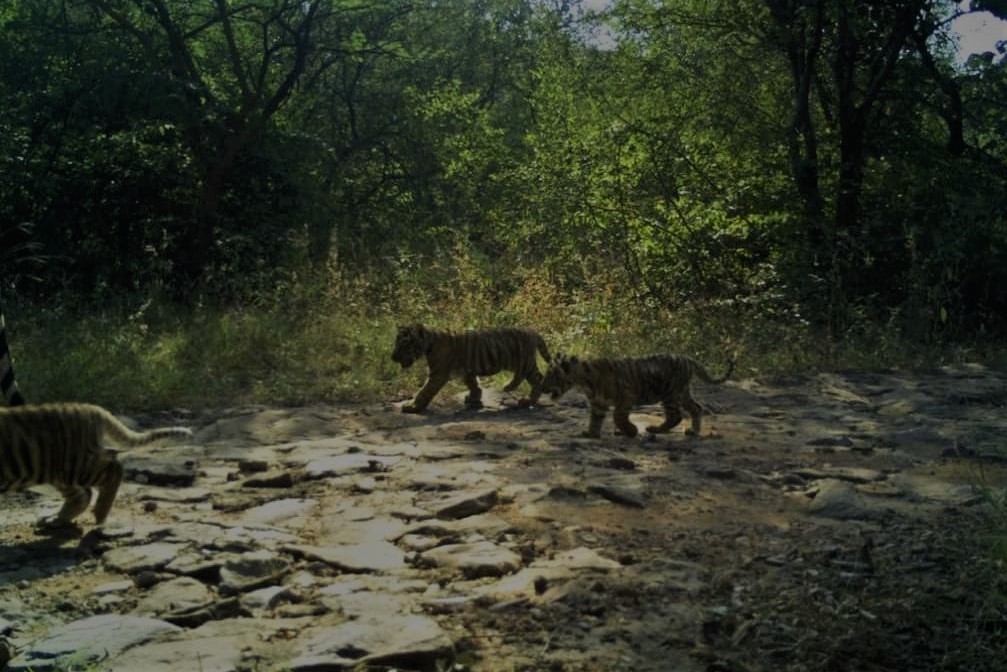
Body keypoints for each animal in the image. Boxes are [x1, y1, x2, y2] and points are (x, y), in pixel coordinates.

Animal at [0, 403, 193, 529]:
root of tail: (89, 408)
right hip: (57, 471)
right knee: (83, 495)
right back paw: (56, 520)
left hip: (75, 465)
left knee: (113, 470)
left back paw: (99, 514)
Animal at [391, 323, 552, 413]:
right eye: (396, 342)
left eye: (404, 343)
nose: (393, 357)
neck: (429, 343)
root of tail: (532, 331)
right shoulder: (467, 369)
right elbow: (473, 383)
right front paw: (474, 398)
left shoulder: (438, 374)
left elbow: (424, 391)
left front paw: (412, 407)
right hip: (518, 363)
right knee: (522, 376)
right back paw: (509, 386)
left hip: (525, 362)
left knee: (538, 379)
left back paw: (528, 400)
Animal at [542, 353, 734, 438]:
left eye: (552, 376)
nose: (542, 387)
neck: (583, 381)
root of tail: (688, 358)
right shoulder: (598, 404)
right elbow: (595, 420)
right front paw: (591, 433)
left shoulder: (626, 397)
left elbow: (618, 417)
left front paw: (631, 431)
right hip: (681, 393)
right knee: (696, 408)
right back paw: (692, 431)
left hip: (671, 394)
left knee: (676, 415)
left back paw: (655, 429)